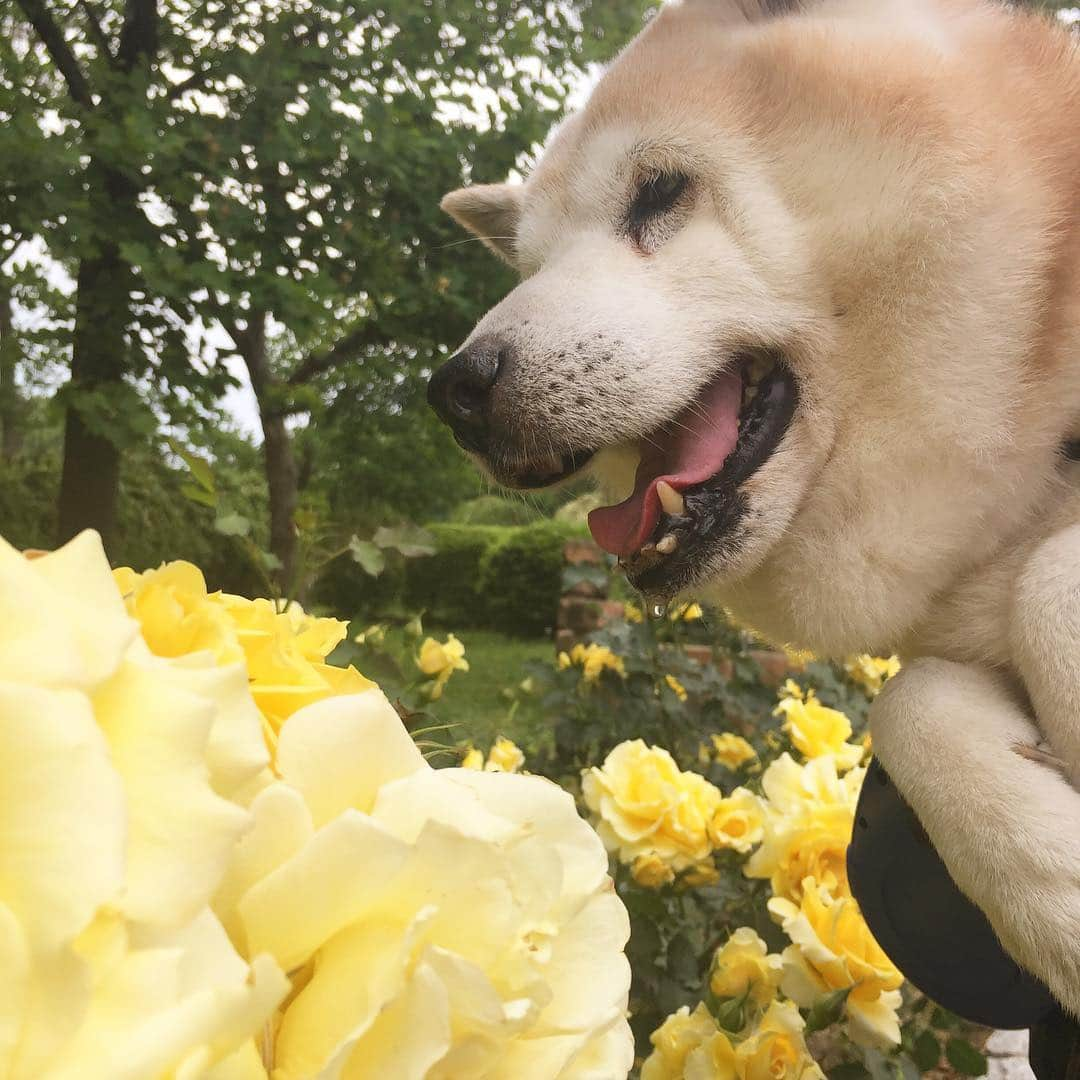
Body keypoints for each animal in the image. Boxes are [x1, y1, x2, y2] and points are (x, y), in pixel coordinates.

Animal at [423, 0, 1080, 1019]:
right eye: (528, 264)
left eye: (660, 190)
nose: (455, 389)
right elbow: (907, 702)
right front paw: (1050, 879)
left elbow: (1050, 580)